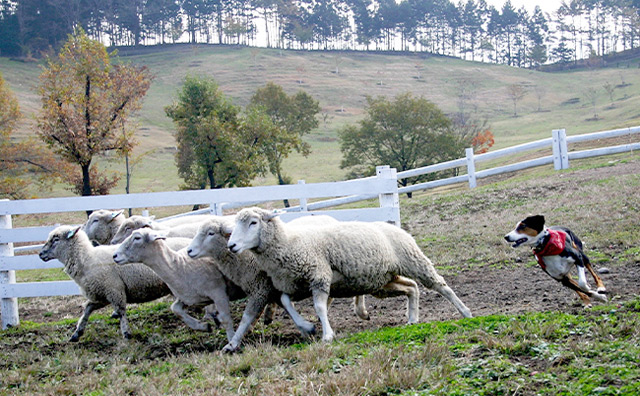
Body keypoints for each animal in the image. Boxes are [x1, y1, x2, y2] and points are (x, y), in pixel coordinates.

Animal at [39, 226, 175, 340]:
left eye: (56, 239)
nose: (40, 254)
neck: (86, 260)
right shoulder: (101, 294)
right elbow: (87, 309)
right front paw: (77, 333)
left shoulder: (114, 290)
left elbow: (120, 311)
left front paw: (126, 333)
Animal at [114, 227, 246, 344]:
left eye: (137, 238)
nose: (115, 256)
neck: (179, 266)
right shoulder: (190, 297)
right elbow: (175, 309)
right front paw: (203, 326)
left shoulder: (218, 293)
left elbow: (226, 320)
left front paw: (231, 341)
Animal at [228, 209, 472, 342]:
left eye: (253, 222)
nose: (231, 245)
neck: (290, 243)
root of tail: (395, 227)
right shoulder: (295, 285)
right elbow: (287, 302)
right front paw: (306, 327)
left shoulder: (319, 276)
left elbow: (320, 307)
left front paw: (327, 335)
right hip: (383, 281)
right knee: (411, 287)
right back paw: (412, 318)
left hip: (413, 260)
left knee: (440, 285)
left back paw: (465, 312)